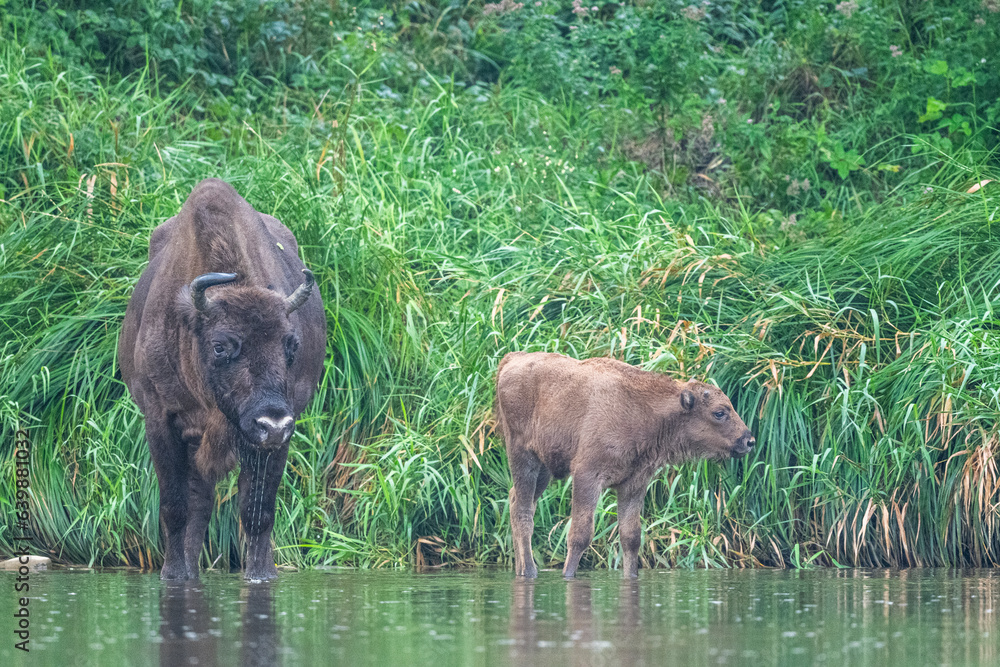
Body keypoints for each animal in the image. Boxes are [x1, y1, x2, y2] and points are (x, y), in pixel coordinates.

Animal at [119, 179, 326, 581]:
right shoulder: (161, 420)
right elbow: (174, 506)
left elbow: (258, 511)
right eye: (220, 345)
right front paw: (173, 575)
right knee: (197, 503)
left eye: (291, 343)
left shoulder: (272, 437)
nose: (272, 421)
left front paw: (261, 575)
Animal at [494, 351, 755, 579]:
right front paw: (568, 575)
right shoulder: (587, 475)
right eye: (719, 412)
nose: (749, 441)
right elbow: (580, 534)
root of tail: (512, 359)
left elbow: (631, 537)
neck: (642, 408)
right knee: (524, 511)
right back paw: (530, 571)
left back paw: (521, 569)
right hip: (523, 457)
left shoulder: (634, 483)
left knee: (515, 499)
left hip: (544, 469)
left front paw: (631, 576)